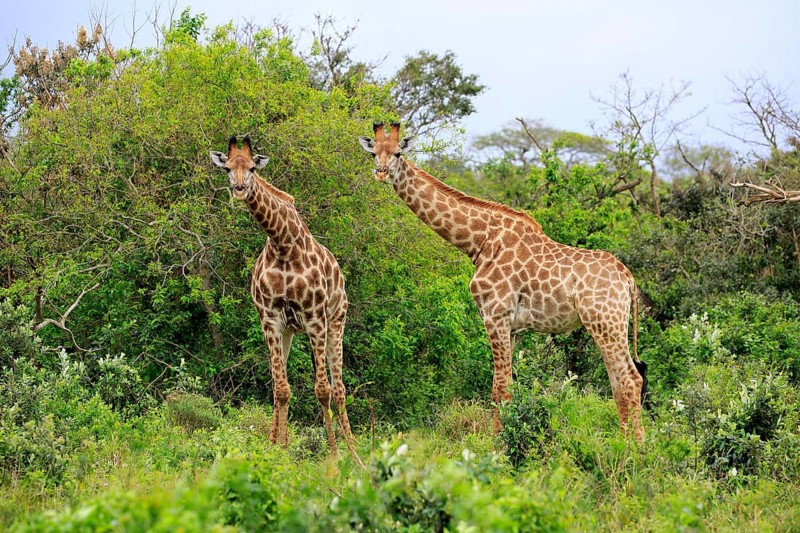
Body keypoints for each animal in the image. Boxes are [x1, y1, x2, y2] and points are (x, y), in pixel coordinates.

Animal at [210, 135, 359, 457]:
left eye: (253, 168)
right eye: (227, 168)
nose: (239, 190)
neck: (282, 242)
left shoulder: (315, 318)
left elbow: (322, 390)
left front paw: (334, 455)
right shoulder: (269, 318)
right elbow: (280, 388)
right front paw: (275, 450)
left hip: (336, 321)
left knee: (339, 388)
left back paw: (354, 451)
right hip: (290, 331)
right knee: (290, 385)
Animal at [359, 123, 645, 441]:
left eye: (398, 153)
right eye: (374, 153)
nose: (381, 172)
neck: (478, 242)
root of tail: (627, 277)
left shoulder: (495, 315)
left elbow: (500, 387)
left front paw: (498, 446)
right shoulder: (512, 326)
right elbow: (506, 383)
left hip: (605, 321)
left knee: (630, 378)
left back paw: (637, 447)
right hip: (607, 324)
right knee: (619, 380)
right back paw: (624, 442)